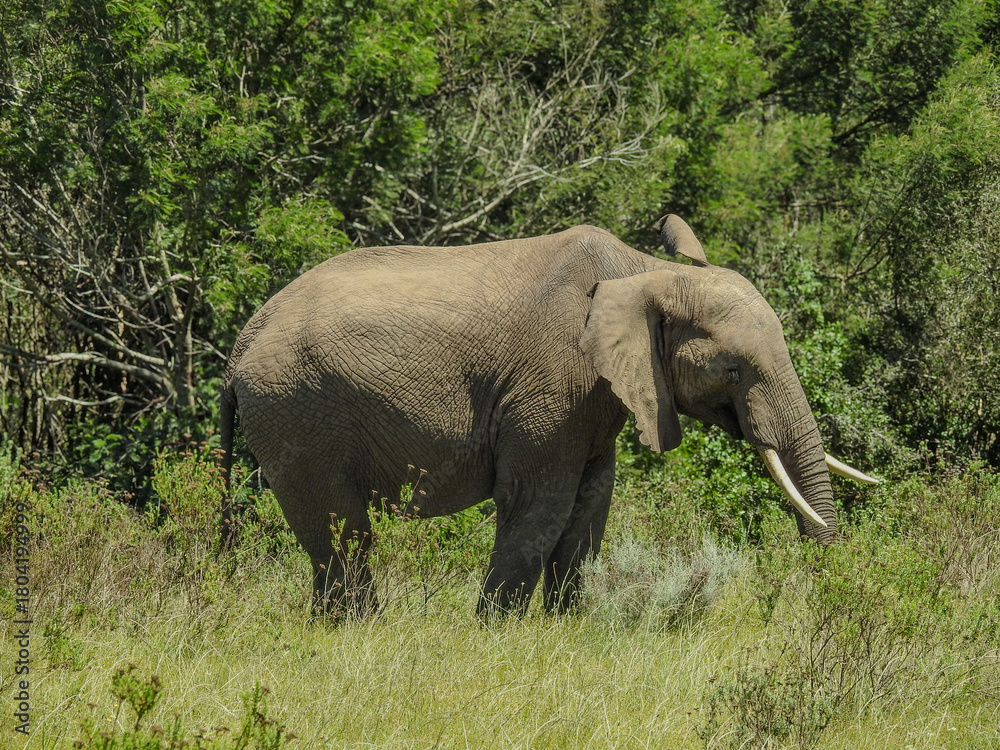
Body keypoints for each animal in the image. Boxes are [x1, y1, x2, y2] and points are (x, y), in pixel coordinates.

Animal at [220, 216, 877, 618]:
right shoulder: (552, 385)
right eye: (735, 370)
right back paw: (361, 631)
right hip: (298, 414)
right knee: (341, 528)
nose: (825, 590)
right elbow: (540, 505)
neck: (642, 270)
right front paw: (495, 636)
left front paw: (566, 628)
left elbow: (590, 506)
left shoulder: (598, 399)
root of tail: (240, 345)